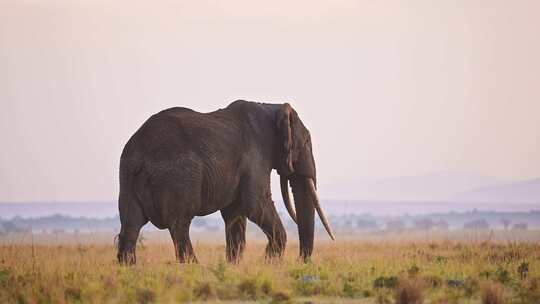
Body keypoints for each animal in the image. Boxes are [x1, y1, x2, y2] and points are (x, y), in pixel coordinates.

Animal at [117, 100, 334, 264]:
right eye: (306, 142)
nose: (301, 262)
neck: (272, 107)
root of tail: (139, 151)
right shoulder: (255, 155)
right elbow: (256, 204)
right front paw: (269, 265)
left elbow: (235, 214)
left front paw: (234, 267)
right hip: (178, 176)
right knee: (179, 226)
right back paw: (193, 269)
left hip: (126, 178)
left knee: (130, 226)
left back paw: (128, 271)